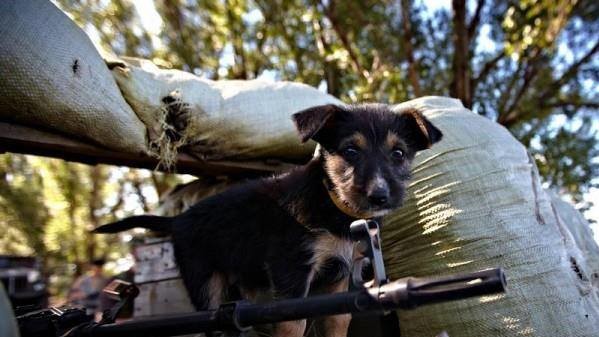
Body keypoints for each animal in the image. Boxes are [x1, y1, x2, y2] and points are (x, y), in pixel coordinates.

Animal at [94, 103, 440, 336]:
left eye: (398, 153)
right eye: (351, 151)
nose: (380, 197)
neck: (333, 208)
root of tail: (177, 221)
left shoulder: (338, 277)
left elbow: (338, 319)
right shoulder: (292, 273)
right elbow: (293, 324)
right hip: (205, 282)